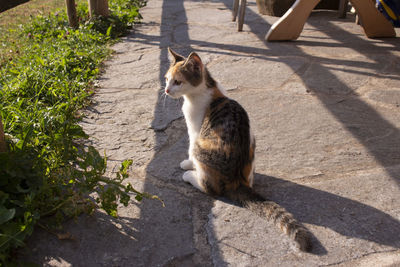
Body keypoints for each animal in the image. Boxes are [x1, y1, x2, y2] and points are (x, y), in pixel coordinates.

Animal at [163, 48, 312, 253]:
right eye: (166, 79)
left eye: (177, 81)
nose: (166, 90)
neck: (206, 90)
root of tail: (236, 181)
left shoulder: (194, 131)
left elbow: (190, 150)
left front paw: (187, 164)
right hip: (252, 141)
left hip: (203, 148)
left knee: (211, 189)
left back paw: (190, 176)